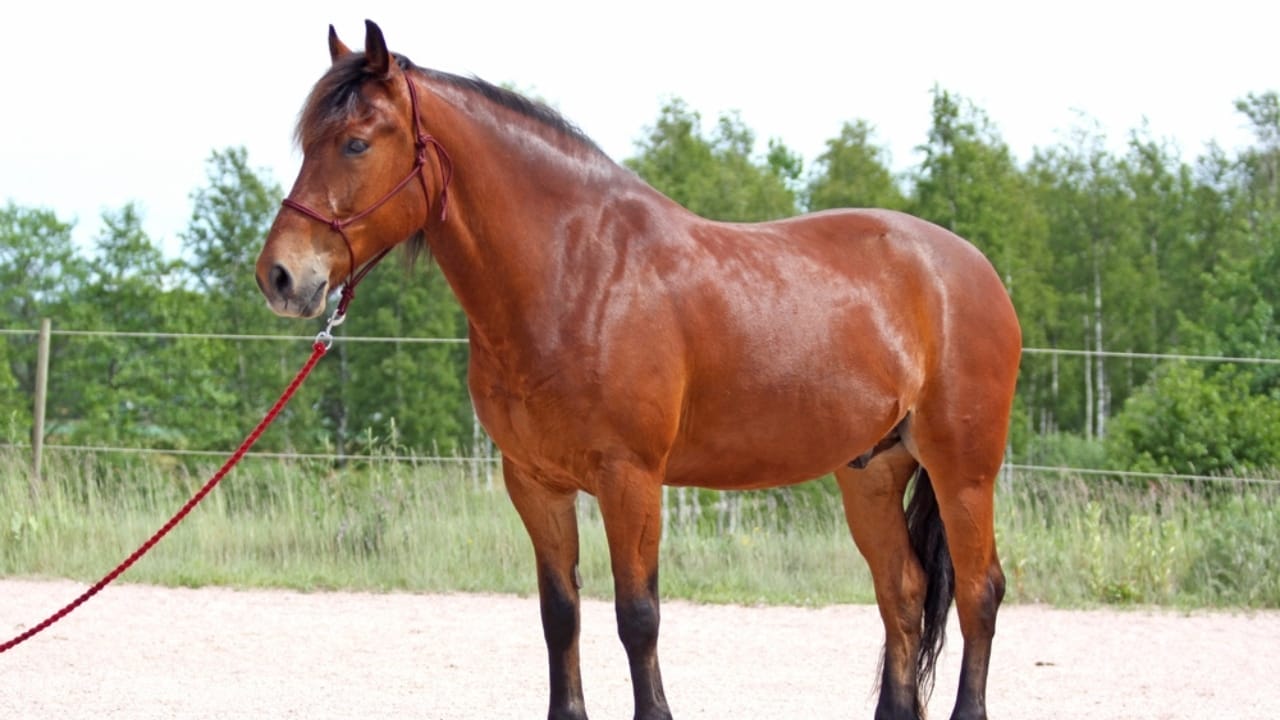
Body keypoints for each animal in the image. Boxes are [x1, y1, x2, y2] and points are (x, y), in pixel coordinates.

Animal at [255, 20, 1021, 720]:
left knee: (979, 592)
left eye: (356, 142)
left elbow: (638, 615)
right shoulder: (534, 483)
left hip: (962, 470)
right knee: (904, 592)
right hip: (872, 470)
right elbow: (560, 613)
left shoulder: (631, 478)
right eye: (308, 143)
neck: (577, 274)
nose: (280, 276)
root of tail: (973, 269)